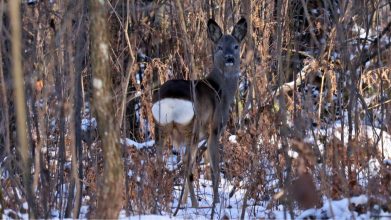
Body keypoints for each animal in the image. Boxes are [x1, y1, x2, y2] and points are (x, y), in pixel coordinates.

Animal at [152, 18, 247, 207]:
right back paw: (196, 206)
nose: (229, 59)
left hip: (161, 126)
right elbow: (214, 169)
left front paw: (183, 203)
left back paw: (160, 203)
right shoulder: (215, 128)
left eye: (235, 46)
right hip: (191, 127)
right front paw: (216, 202)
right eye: (219, 47)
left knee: (162, 163)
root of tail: (171, 100)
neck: (220, 90)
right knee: (188, 166)